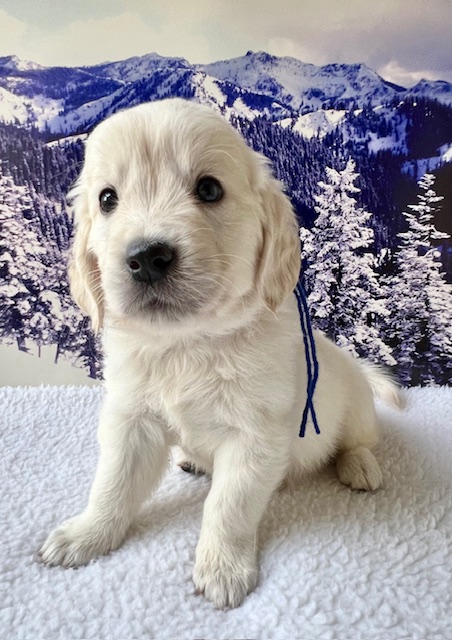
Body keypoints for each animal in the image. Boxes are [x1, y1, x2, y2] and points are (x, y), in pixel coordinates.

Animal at [39, 98, 402, 609]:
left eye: (209, 189)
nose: (147, 258)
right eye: (107, 199)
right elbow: (113, 482)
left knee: (359, 441)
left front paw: (222, 568)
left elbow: (228, 506)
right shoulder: (131, 418)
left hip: (355, 408)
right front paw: (87, 534)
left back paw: (360, 466)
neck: (188, 342)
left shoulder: (255, 436)